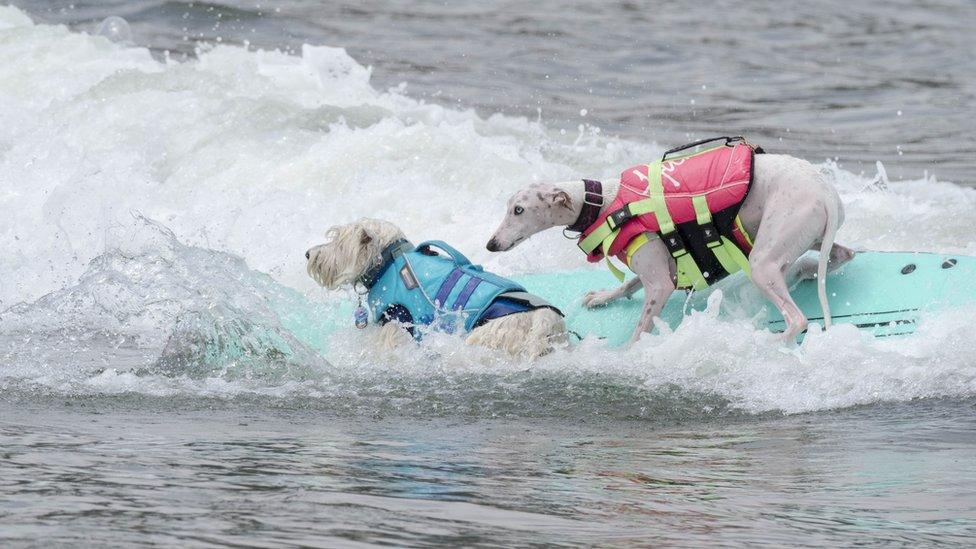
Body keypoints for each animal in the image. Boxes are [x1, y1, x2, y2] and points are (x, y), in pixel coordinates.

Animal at [304, 218, 564, 360]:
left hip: (485, 336)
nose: (308, 253)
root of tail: (545, 321)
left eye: (338, 242)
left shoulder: (396, 323)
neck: (387, 260)